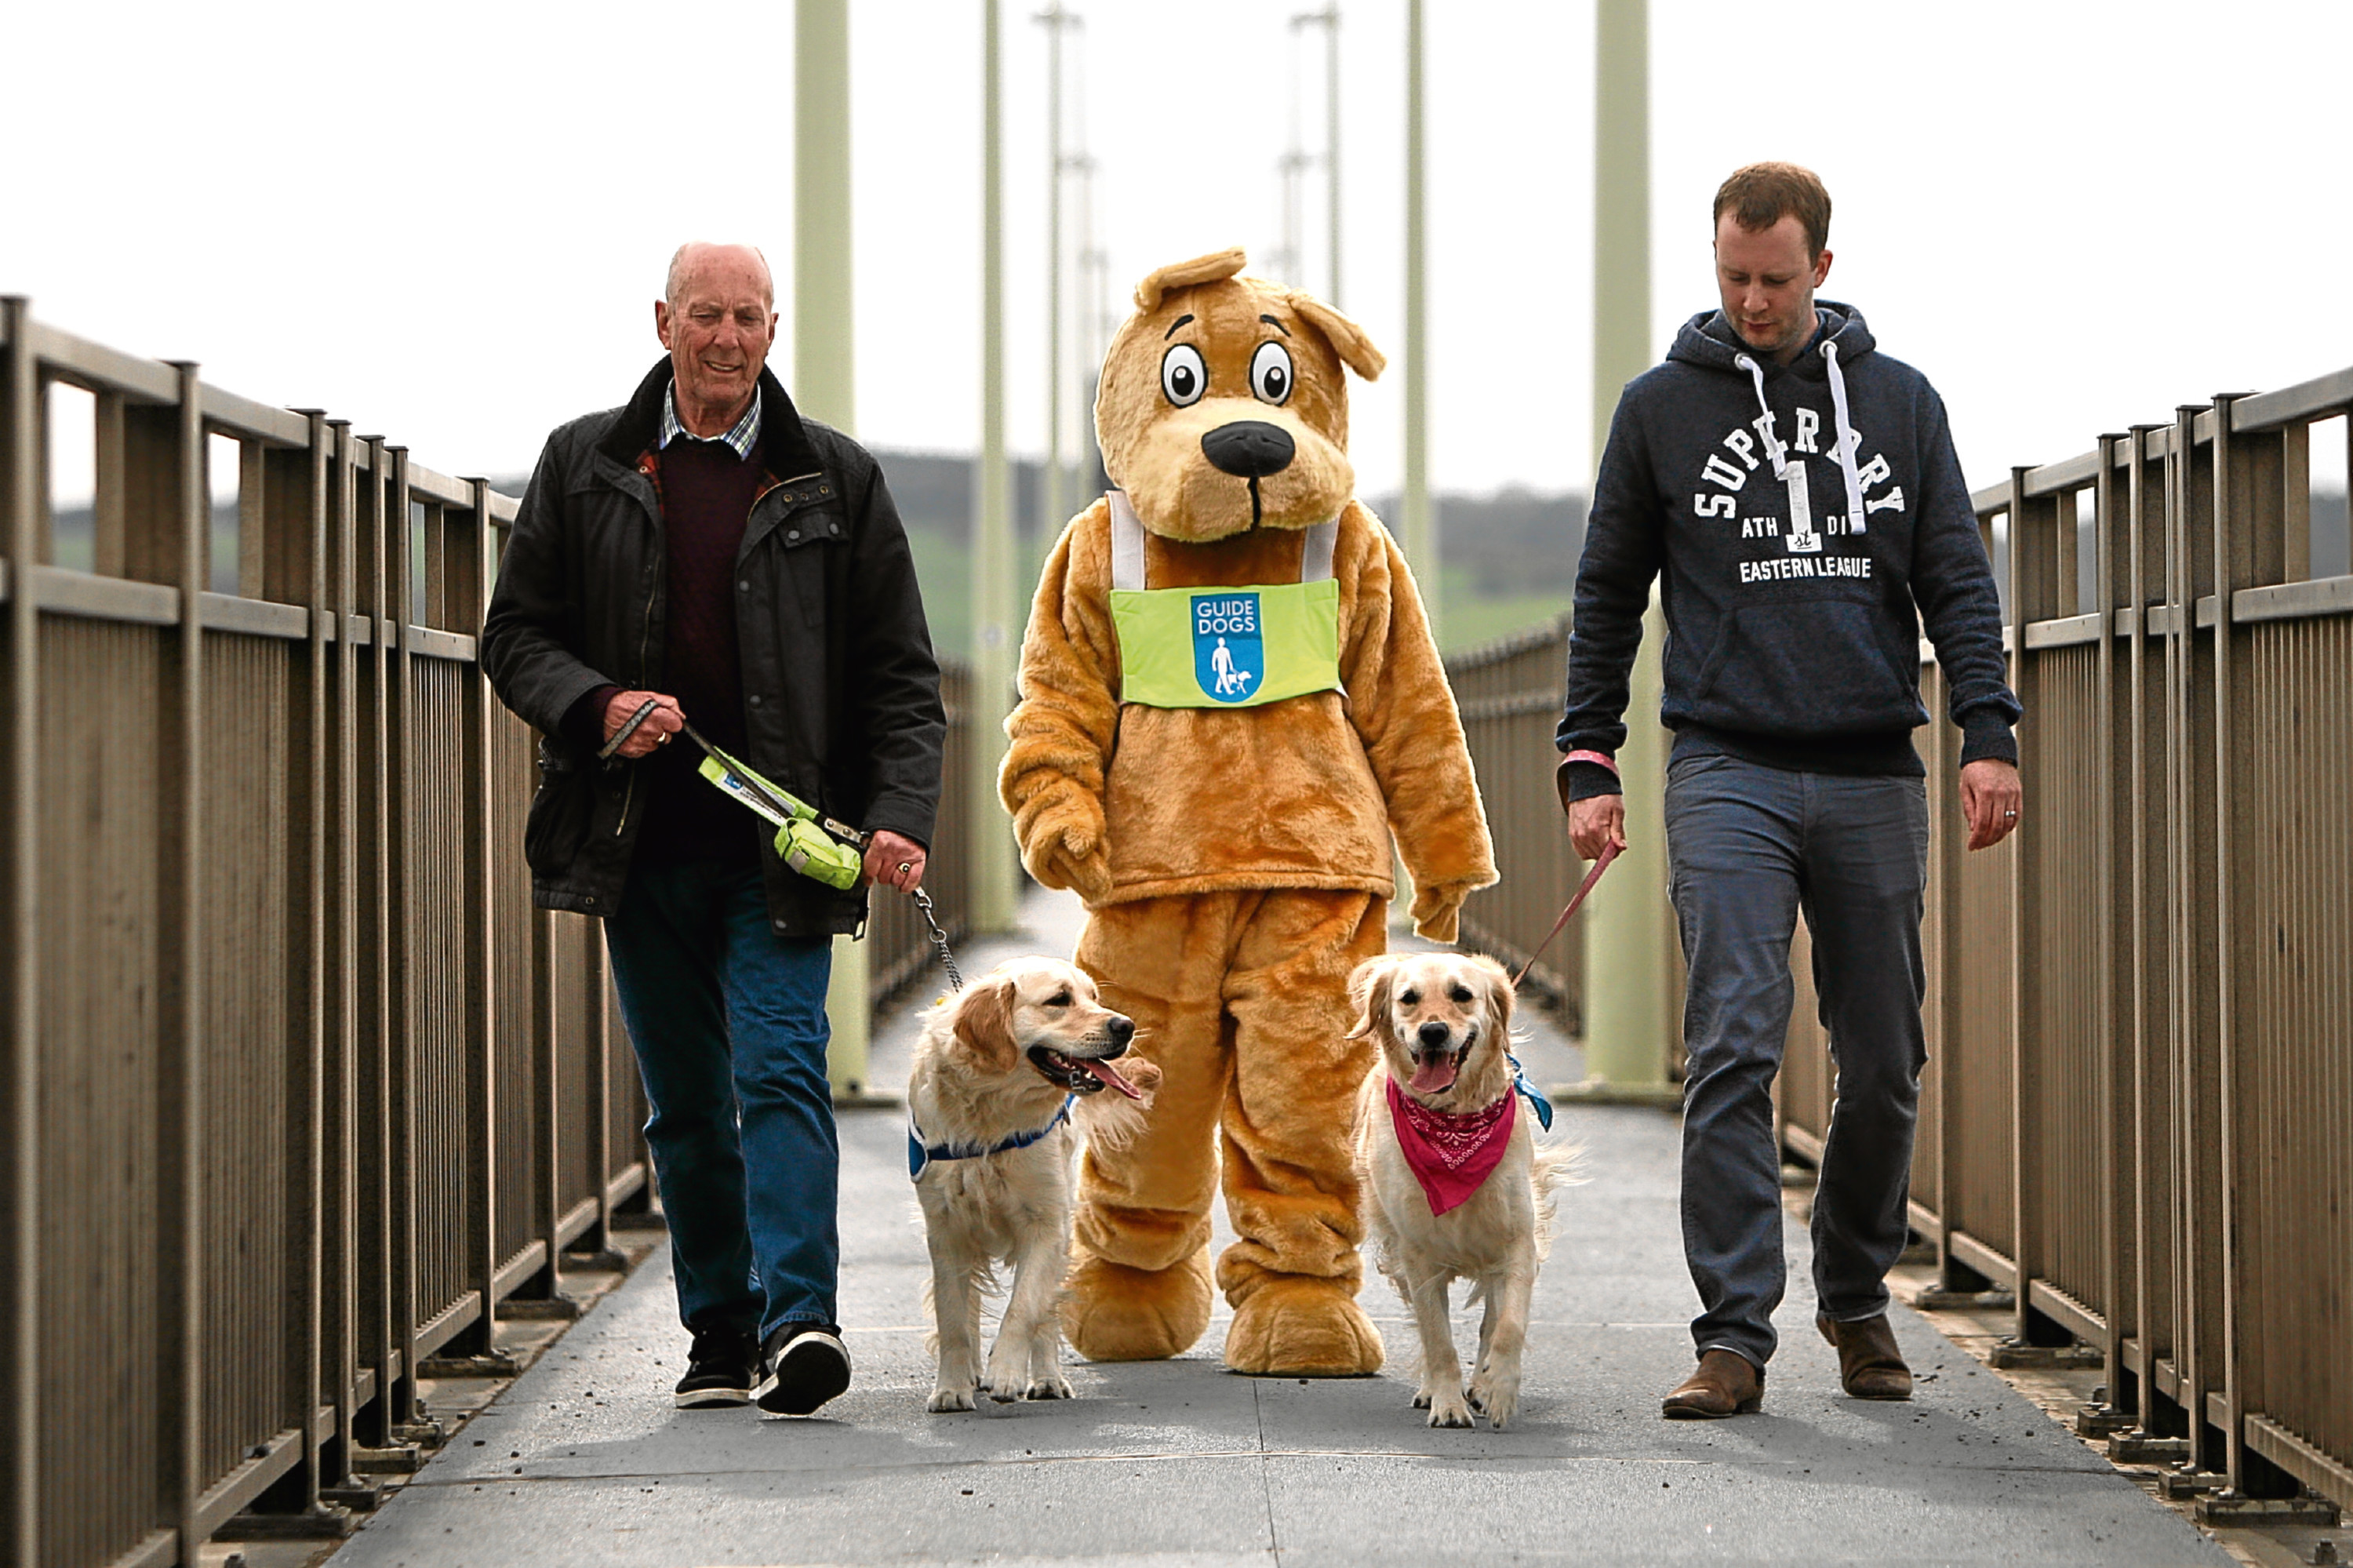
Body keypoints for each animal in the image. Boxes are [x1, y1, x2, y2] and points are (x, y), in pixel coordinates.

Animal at [904, 960, 1153, 1412]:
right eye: (1059, 1000)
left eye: (1094, 997)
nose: (1125, 1025)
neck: (991, 1115)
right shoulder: (946, 1228)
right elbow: (953, 1318)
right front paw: (951, 1387)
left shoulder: (1045, 1223)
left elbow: (1024, 1308)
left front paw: (1006, 1372)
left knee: (1045, 1313)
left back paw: (1048, 1379)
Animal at [1355, 946, 1572, 1421]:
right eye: (1409, 998)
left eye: (1462, 995)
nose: (1433, 1032)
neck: (1454, 1129)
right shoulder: (1417, 1252)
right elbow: (1437, 1337)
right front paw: (1448, 1402)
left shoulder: (1518, 1240)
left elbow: (1508, 1325)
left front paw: (1498, 1387)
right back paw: (1433, 1389)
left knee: (1492, 1318)